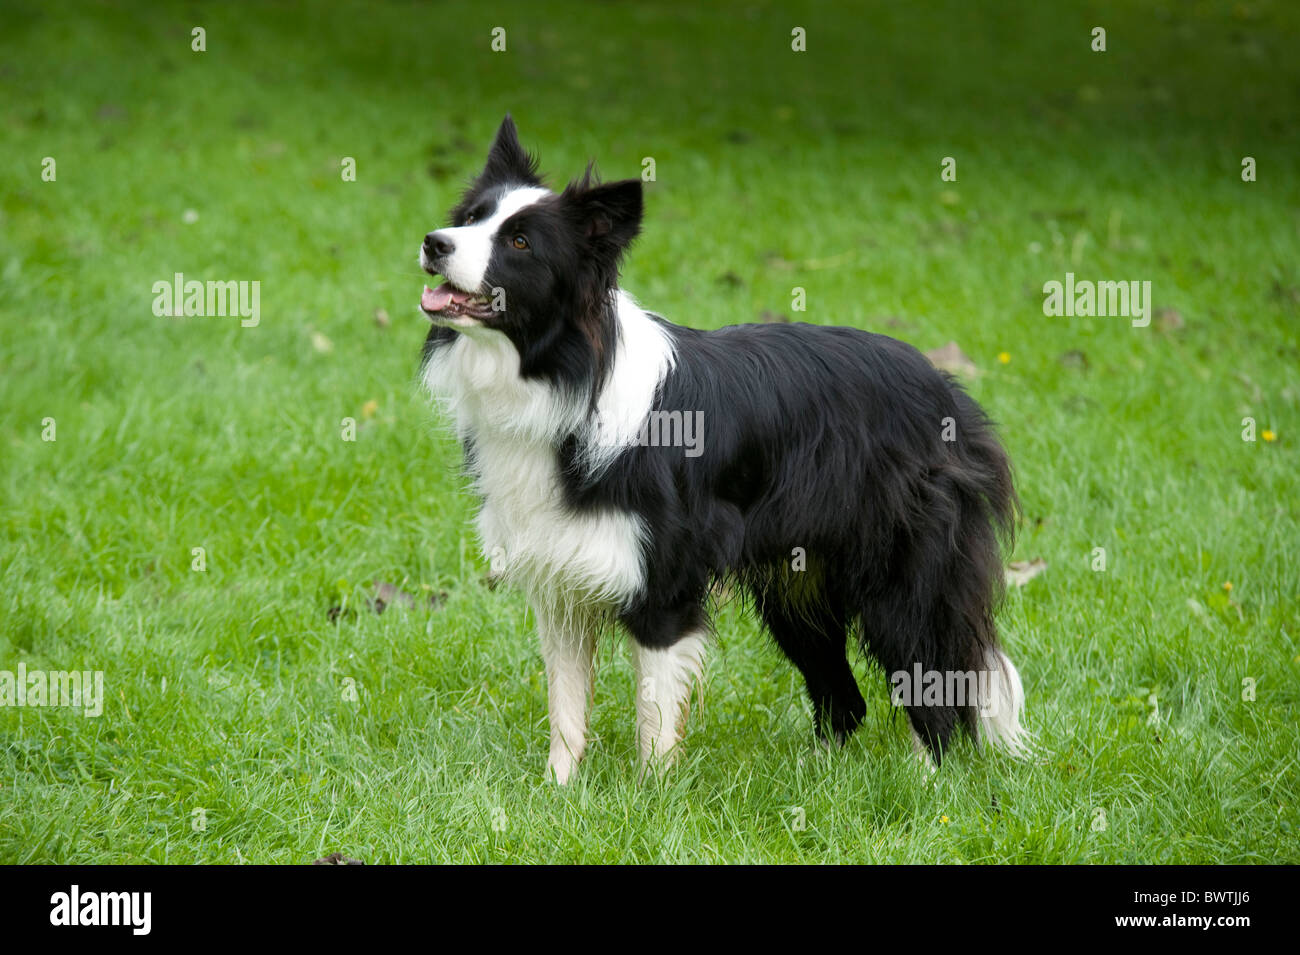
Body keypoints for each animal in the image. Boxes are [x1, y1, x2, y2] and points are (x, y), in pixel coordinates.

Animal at [421, 115, 1029, 784]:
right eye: (471, 217)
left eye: (521, 242)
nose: (433, 242)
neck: (565, 373)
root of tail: (950, 392)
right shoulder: (562, 585)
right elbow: (566, 705)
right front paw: (559, 791)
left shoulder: (664, 585)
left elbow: (654, 716)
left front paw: (651, 798)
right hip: (797, 586)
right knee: (845, 699)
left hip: (904, 577)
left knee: (936, 688)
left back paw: (928, 787)